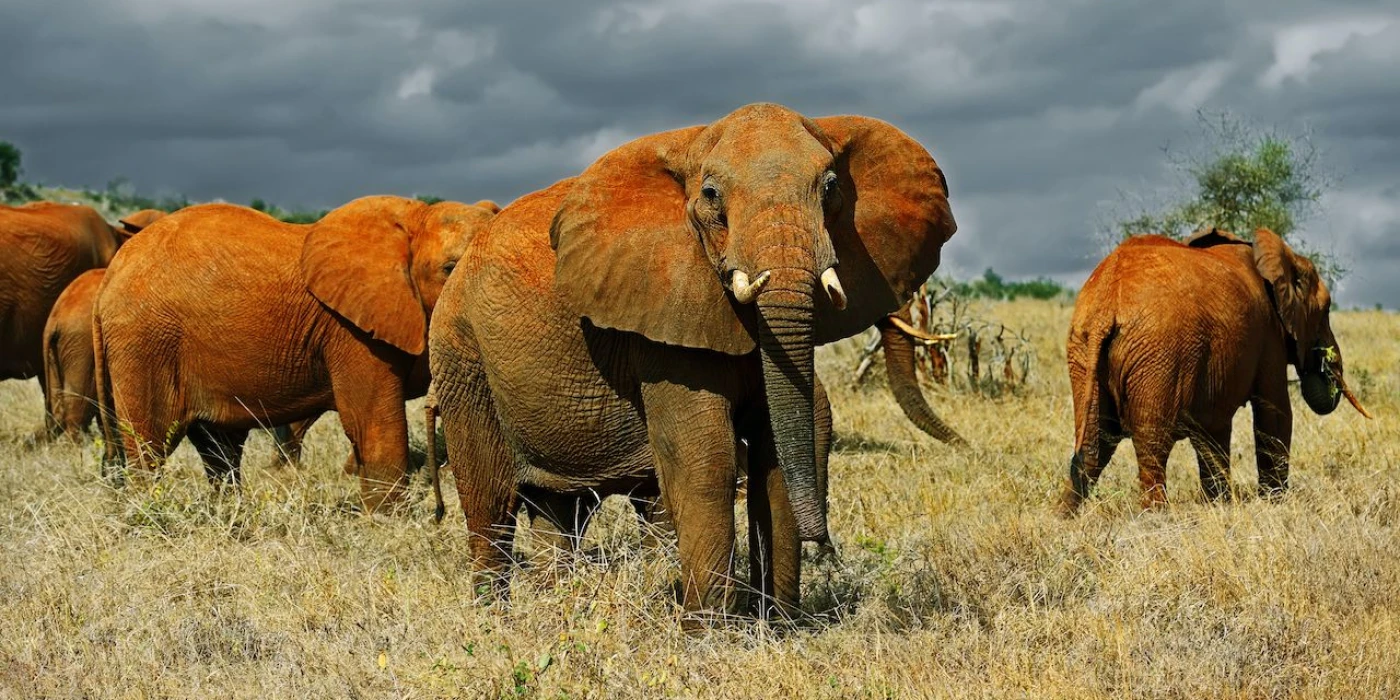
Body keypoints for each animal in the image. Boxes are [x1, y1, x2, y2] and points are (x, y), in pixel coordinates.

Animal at [94, 197, 498, 509]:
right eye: (449, 269)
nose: (438, 511)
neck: (413, 221)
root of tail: (110, 275)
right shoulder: (349, 330)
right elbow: (372, 424)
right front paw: (389, 525)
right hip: (145, 341)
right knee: (150, 444)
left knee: (219, 449)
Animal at [425, 101, 952, 621]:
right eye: (712, 195)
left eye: (830, 188)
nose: (826, 545)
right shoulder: (659, 315)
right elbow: (706, 455)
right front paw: (711, 632)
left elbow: (781, 445)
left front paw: (779, 626)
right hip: (461, 355)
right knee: (491, 504)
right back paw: (493, 620)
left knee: (561, 511)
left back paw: (560, 607)